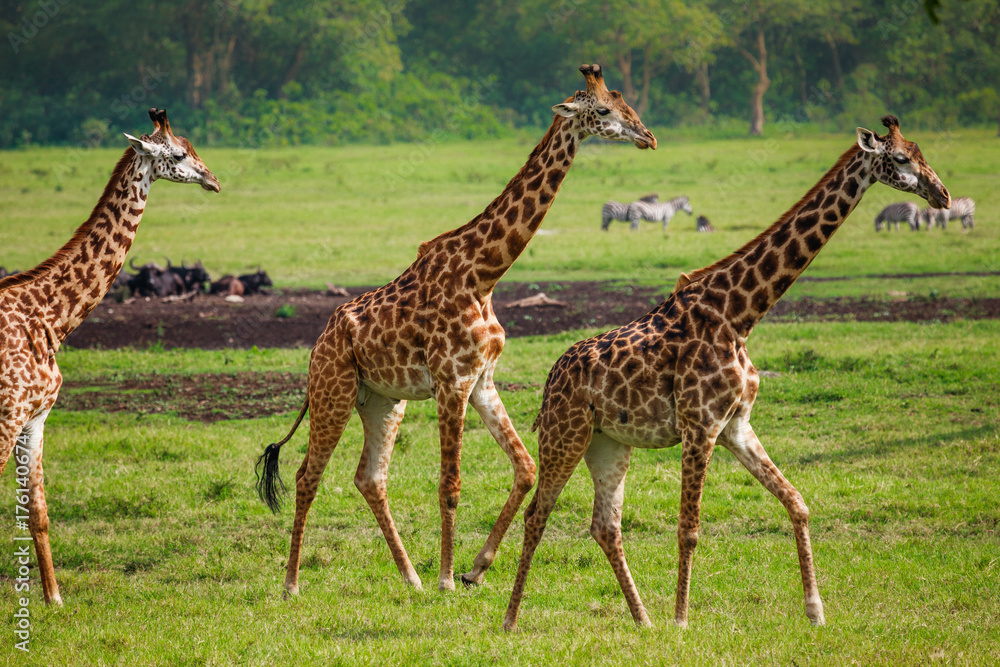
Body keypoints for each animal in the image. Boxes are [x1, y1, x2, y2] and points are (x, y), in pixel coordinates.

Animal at [0, 109, 219, 604]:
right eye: (180, 154)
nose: (214, 181)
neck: (50, 317)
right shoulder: (8, 414)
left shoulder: (34, 419)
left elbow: (38, 513)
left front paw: (53, 598)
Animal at [256, 64, 656, 596]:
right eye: (607, 109)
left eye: (623, 100)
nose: (648, 137)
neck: (484, 273)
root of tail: (319, 342)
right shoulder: (451, 382)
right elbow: (450, 484)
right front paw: (448, 578)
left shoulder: (480, 379)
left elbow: (525, 467)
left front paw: (474, 568)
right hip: (332, 390)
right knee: (307, 475)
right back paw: (293, 584)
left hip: (383, 401)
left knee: (370, 478)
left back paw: (410, 578)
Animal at [504, 115, 948, 632]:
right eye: (900, 159)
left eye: (921, 153)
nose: (942, 195)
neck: (740, 314)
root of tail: (551, 379)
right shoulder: (701, 426)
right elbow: (689, 529)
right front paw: (681, 621)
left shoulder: (736, 424)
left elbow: (797, 502)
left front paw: (815, 611)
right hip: (565, 434)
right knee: (537, 515)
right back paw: (511, 620)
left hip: (609, 443)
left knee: (605, 525)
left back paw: (642, 620)